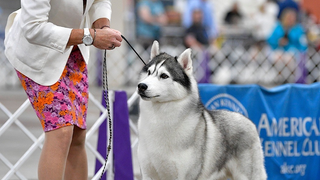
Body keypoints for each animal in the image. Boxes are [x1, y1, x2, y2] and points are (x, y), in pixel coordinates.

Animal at [136, 41, 266, 180]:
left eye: (164, 76)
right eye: (149, 72)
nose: (141, 86)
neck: (159, 119)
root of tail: (247, 119)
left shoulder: (186, 175)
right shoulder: (147, 173)